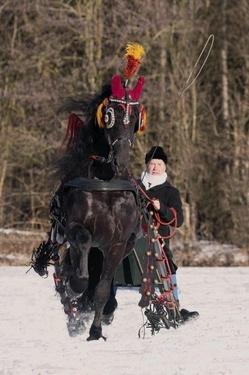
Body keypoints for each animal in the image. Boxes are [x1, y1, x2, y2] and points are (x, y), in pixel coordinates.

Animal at [53, 75, 145, 342]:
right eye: (110, 114)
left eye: (136, 116)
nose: (121, 158)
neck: (107, 181)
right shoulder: (75, 227)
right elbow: (82, 247)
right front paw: (76, 287)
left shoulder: (117, 242)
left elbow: (103, 288)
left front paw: (96, 330)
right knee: (73, 266)